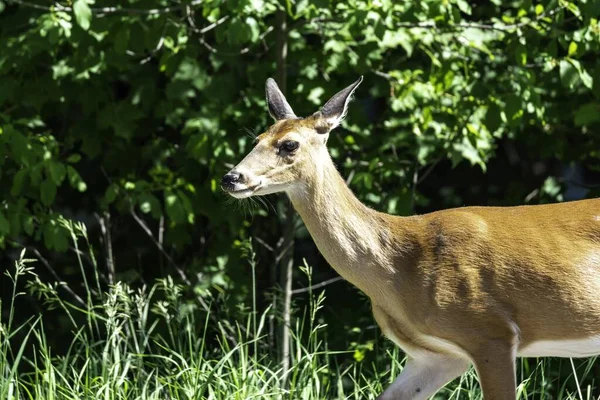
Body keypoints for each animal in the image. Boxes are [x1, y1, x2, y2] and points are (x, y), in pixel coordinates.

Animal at [220, 76, 600, 398]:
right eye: (256, 139)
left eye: (289, 144)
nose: (231, 177)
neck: (400, 267)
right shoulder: (440, 356)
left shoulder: (489, 330)